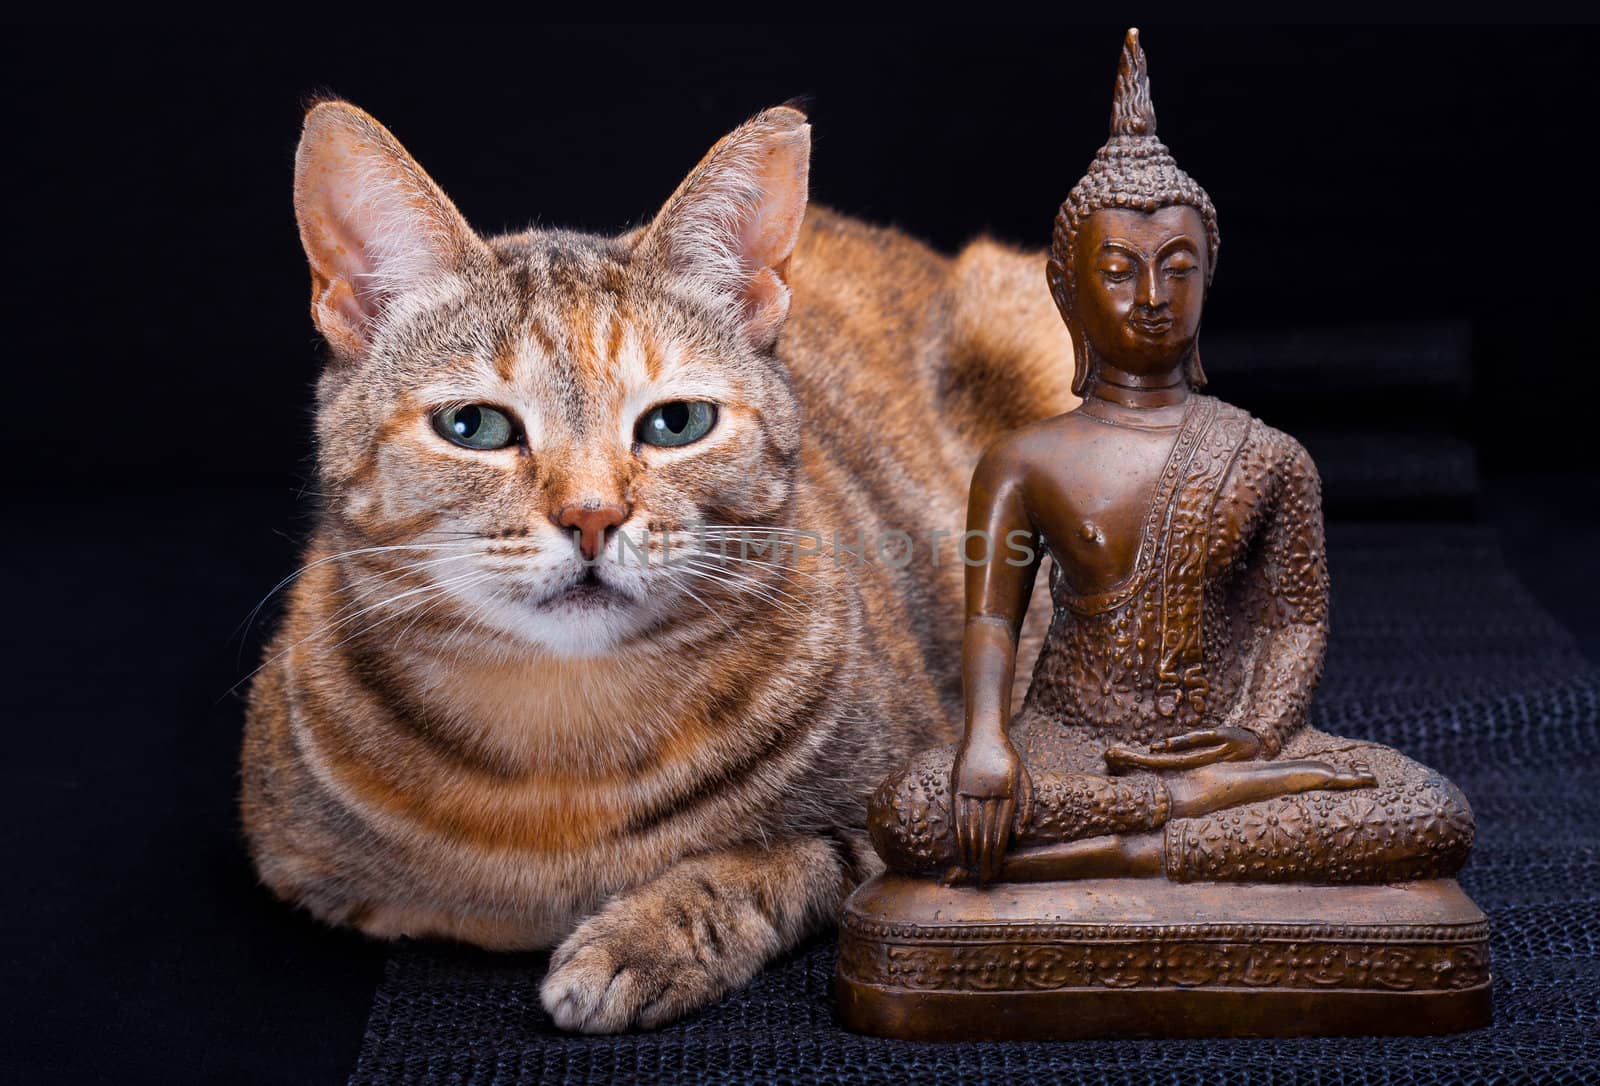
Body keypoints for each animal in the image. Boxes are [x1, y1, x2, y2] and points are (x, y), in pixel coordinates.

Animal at [240, 99, 1075, 1030]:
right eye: (474, 427)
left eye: (677, 423)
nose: (592, 515)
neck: (562, 757)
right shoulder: (297, 864)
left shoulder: (918, 780)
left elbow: (786, 858)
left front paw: (641, 939)